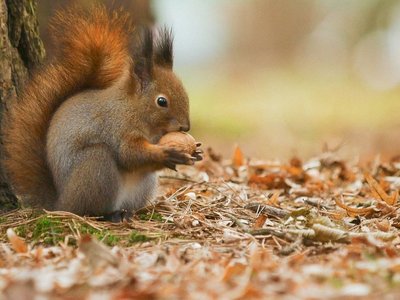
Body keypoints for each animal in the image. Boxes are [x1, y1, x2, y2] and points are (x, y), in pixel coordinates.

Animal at [1, 4, 198, 220]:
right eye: (161, 101)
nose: (186, 126)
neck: (133, 109)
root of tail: (59, 203)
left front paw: (195, 152)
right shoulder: (118, 128)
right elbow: (129, 154)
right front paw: (166, 153)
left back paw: (128, 211)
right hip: (96, 167)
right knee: (89, 209)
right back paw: (111, 214)